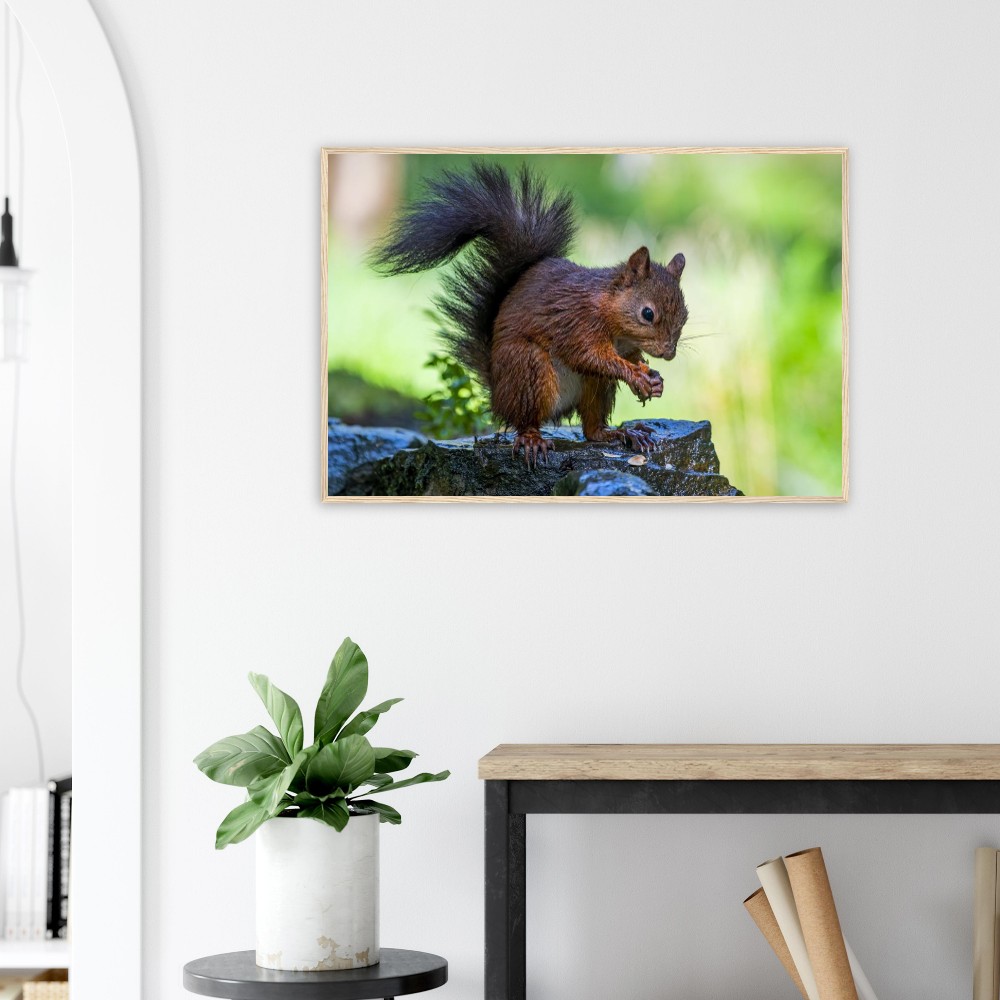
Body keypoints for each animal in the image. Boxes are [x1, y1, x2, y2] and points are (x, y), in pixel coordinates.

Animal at [371, 162, 688, 466]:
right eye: (648, 313)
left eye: (685, 315)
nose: (669, 353)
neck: (612, 316)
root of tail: (498, 393)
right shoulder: (577, 323)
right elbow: (589, 355)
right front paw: (636, 375)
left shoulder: (624, 344)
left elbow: (629, 357)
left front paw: (652, 377)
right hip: (528, 369)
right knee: (525, 420)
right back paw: (533, 439)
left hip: (595, 386)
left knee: (591, 429)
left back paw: (621, 433)